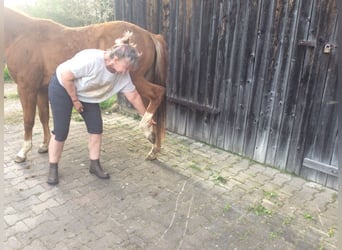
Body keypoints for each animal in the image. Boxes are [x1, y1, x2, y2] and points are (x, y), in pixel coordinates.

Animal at [3, 7, 167, 162]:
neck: (23, 34)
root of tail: (149, 35)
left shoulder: (26, 88)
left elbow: (28, 120)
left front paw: (23, 152)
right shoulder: (41, 89)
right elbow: (43, 116)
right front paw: (44, 145)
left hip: (135, 80)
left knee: (158, 93)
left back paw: (148, 134)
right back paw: (153, 149)